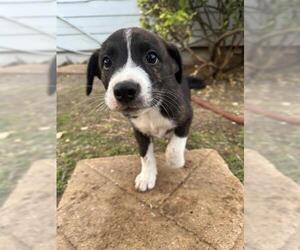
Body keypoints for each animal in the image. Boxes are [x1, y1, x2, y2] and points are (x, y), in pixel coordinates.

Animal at [85, 27, 205, 191]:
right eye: (106, 62)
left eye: (152, 57)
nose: (124, 90)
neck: (150, 110)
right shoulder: (139, 130)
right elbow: (145, 154)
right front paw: (147, 176)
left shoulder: (186, 115)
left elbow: (174, 148)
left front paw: (175, 161)